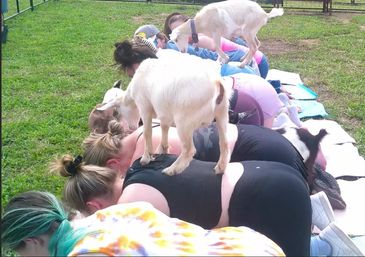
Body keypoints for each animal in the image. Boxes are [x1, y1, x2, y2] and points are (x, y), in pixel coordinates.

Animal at [99, 52, 230, 176]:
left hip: (184, 120)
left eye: (118, 112)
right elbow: (164, 127)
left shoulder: (144, 107)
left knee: (189, 150)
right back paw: (220, 168)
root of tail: (216, 83)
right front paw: (162, 149)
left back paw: (172, 170)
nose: (132, 128)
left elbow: (147, 132)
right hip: (222, 113)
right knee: (224, 143)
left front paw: (146, 157)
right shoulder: (164, 113)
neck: (131, 95)